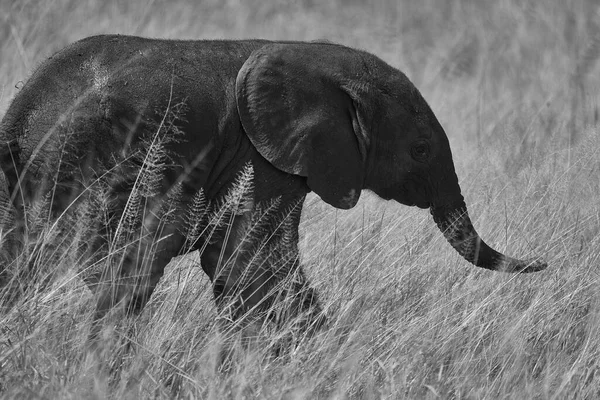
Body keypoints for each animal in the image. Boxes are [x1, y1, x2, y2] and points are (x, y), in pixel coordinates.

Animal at [0, 33, 544, 340]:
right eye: (421, 151)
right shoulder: (262, 155)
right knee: (130, 265)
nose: (544, 264)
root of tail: (25, 112)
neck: (320, 60)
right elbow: (252, 264)